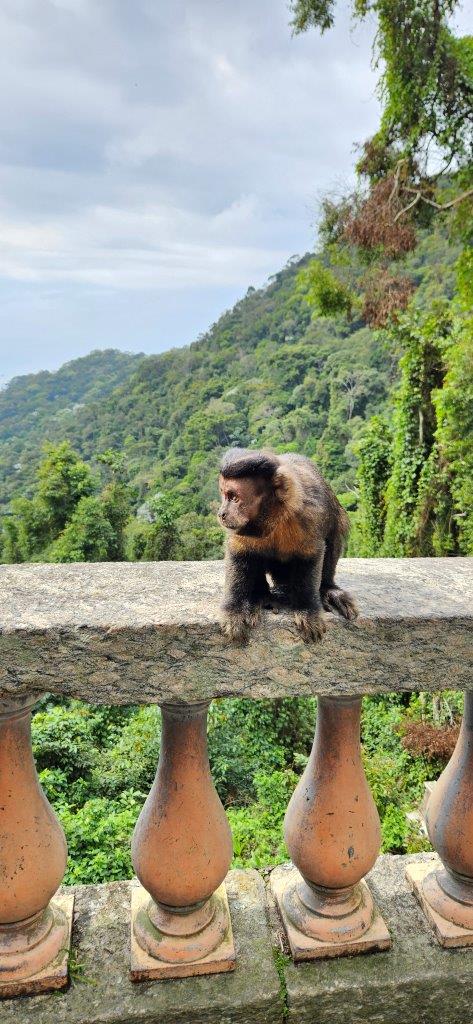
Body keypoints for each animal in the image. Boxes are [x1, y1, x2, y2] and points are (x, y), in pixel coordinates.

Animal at [217, 448, 358, 643]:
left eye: (234, 497)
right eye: (224, 496)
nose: (221, 513)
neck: (275, 515)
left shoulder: (309, 513)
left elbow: (311, 554)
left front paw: (307, 609)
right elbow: (239, 552)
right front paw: (234, 609)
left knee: (336, 528)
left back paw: (327, 588)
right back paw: (260, 596)